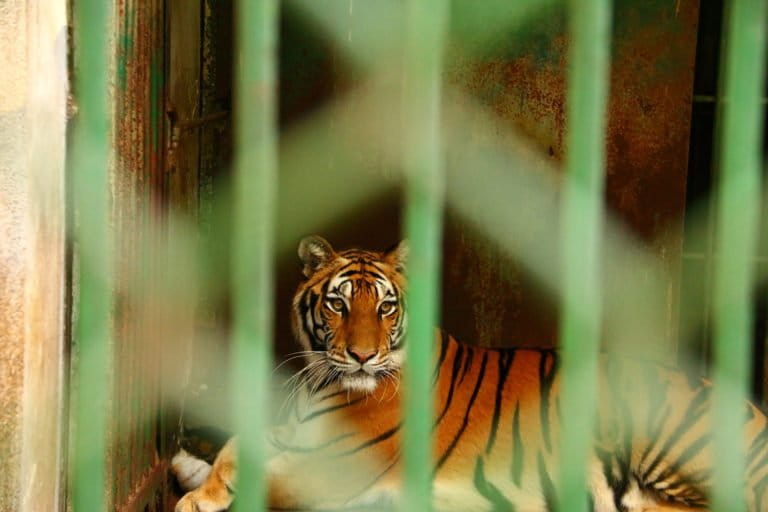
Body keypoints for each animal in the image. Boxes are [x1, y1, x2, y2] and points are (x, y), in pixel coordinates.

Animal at [176, 236, 768, 512]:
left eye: (385, 307)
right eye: (338, 304)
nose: (363, 357)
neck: (325, 382)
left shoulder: (332, 463)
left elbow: (261, 474)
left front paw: (193, 498)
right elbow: (233, 447)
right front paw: (196, 479)